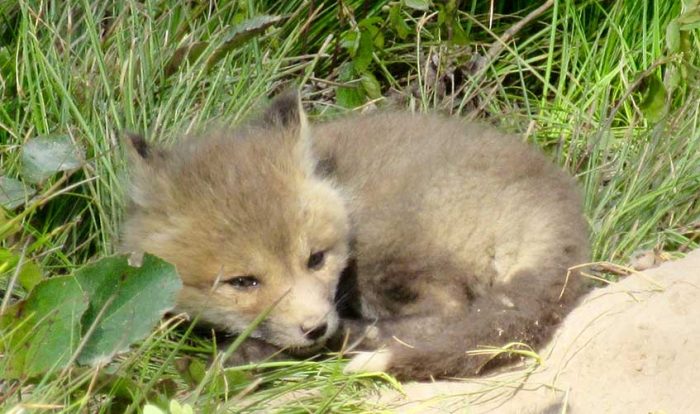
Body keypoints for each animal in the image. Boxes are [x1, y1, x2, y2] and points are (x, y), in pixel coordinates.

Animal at [121, 92, 592, 380]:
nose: (315, 328)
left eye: (316, 259)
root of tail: (560, 206)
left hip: (385, 247)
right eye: (242, 282)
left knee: (449, 311)